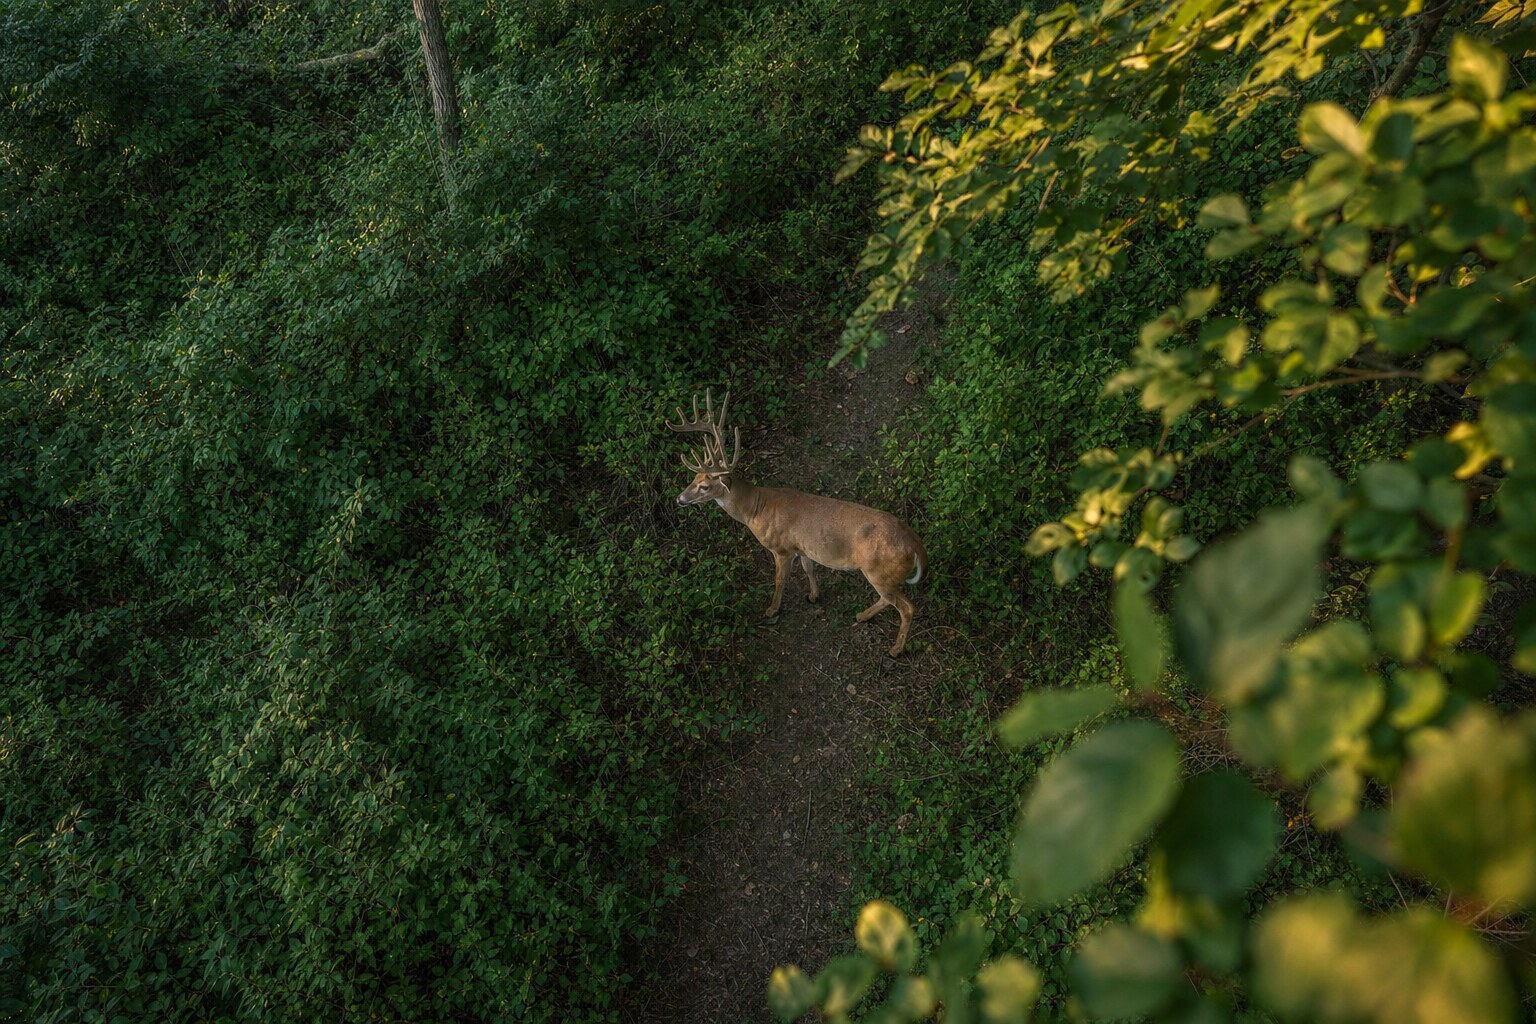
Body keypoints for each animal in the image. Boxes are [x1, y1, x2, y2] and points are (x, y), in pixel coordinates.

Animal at [668, 389, 927, 657]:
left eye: (704, 486)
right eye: (694, 478)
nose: (679, 499)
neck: (756, 508)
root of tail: (917, 548)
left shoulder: (781, 548)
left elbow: (780, 580)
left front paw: (772, 609)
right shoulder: (803, 547)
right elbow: (808, 568)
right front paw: (814, 595)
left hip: (879, 571)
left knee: (907, 607)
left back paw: (895, 649)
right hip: (882, 574)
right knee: (890, 600)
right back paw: (862, 616)